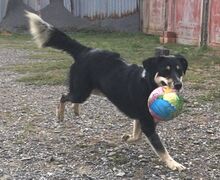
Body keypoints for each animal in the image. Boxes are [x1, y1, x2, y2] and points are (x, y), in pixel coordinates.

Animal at [25, 11, 187, 172]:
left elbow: (137, 135)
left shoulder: (141, 118)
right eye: (166, 71)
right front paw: (174, 163)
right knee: (63, 96)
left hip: (94, 89)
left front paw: (128, 138)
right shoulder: (146, 122)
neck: (148, 83)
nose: (179, 85)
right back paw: (60, 114)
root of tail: (85, 50)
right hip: (81, 92)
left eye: (179, 71)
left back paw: (75, 110)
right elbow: (160, 148)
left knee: (71, 97)